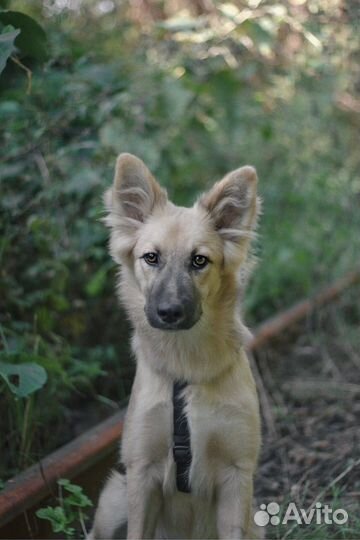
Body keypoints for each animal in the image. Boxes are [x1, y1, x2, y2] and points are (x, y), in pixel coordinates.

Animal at [88, 154, 260, 536]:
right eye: (151, 257)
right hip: (114, 500)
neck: (186, 366)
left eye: (199, 260)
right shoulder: (141, 471)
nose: (169, 313)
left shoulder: (236, 474)